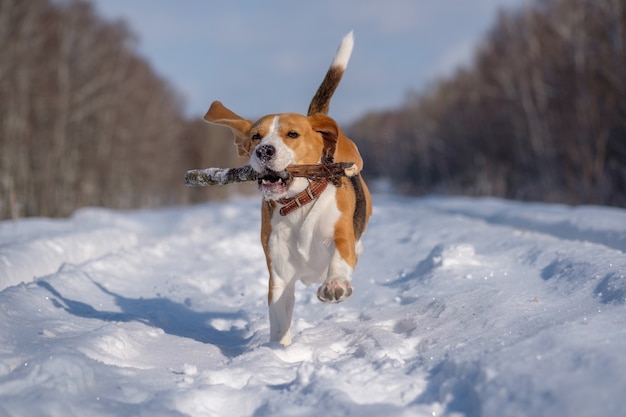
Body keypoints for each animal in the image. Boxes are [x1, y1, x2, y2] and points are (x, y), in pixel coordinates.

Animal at [205, 32, 370, 344]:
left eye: (292, 134)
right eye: (255, 137)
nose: (264, 151)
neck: (299, 203)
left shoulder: (339, 236)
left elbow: (340, 257)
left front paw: (335, 284)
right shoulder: (279, 276)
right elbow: (280, 321)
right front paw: (276, 351)